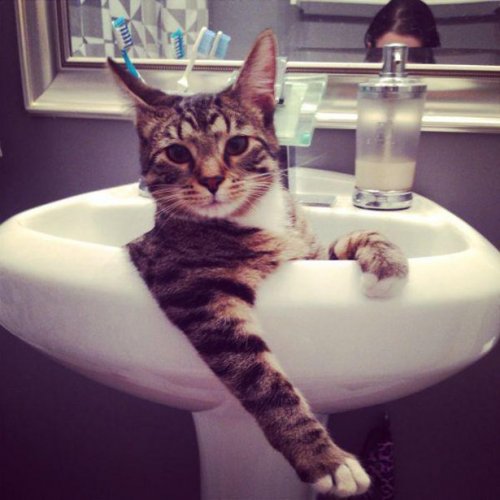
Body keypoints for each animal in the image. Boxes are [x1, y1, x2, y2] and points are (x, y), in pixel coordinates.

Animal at [108, 29, 408, 498]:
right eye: (176, 153)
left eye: (237, 144)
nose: (212, 180)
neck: (254, 217)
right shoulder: (198, 294)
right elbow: (264, 381)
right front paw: (325, 458)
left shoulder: (307, 254)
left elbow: (345, 241)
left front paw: (384, 256)